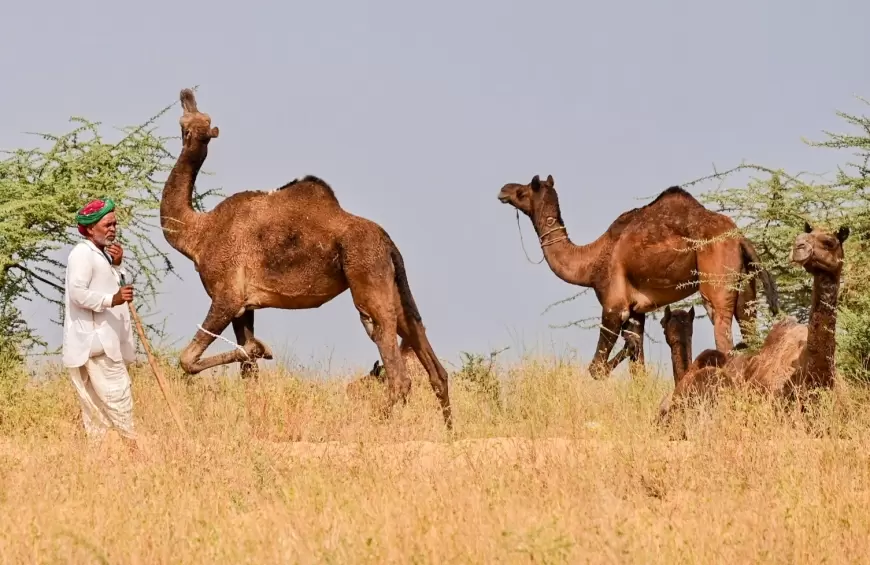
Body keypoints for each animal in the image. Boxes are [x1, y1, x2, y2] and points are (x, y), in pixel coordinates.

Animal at [159, 87, 454, 428]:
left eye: (184, 125)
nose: (185, 94)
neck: (198, 233)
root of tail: (388, 242)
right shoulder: (245, 306)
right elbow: (248, 368)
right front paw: (257, 364)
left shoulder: (227, 296)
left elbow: (188, 359)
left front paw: (262, 350)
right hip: (395, 281)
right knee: (429, 356)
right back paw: (449, 431)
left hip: (367, 270)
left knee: (395, 366)